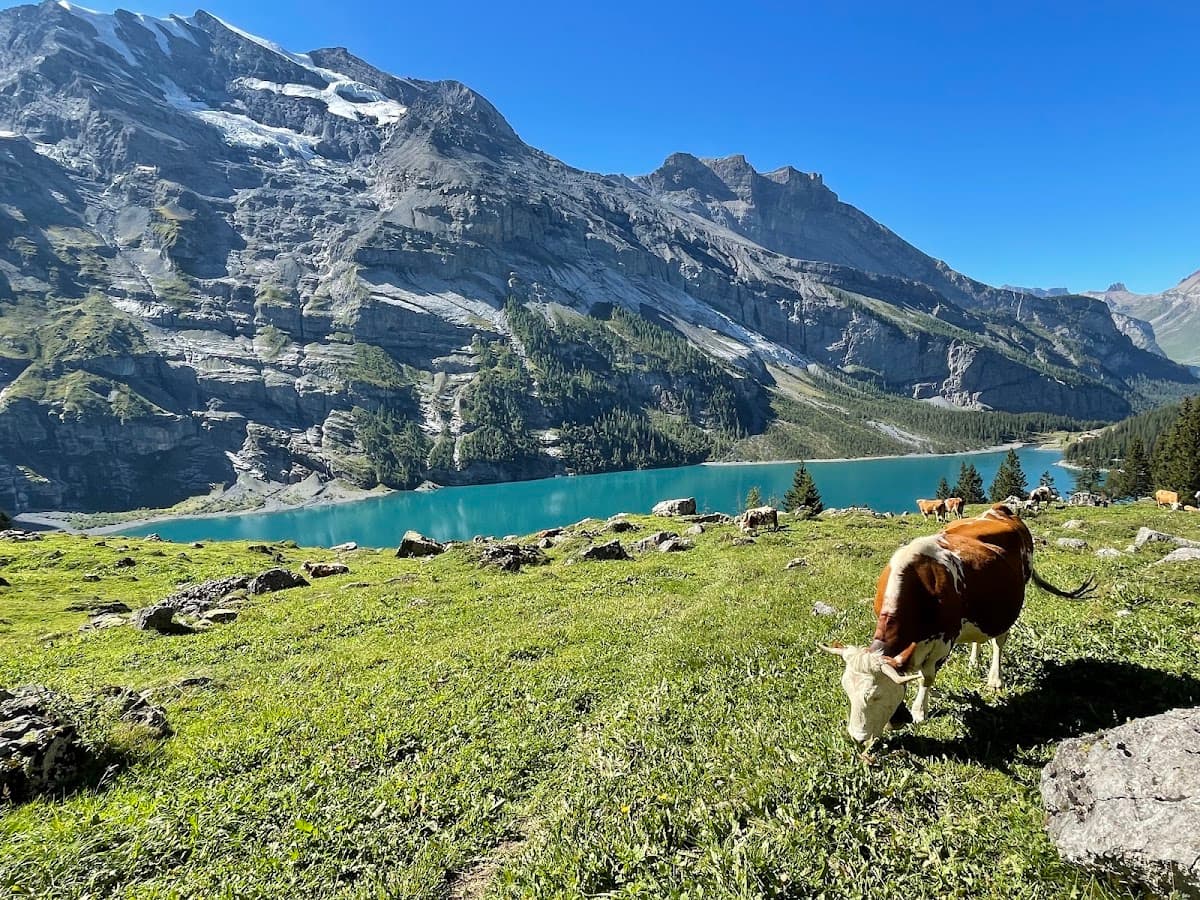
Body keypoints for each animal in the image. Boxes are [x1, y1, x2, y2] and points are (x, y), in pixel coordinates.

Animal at [820, 503, 1095, 744]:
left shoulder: (944, 640)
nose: (857, 738)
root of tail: (998, 509)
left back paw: (995, 679)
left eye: (875, 696)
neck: (920, 589)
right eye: (847, 692)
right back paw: (974, 661)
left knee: (999, 642)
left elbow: (926, 677)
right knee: (979, 637)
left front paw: (919, 712)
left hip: (1007, 608)